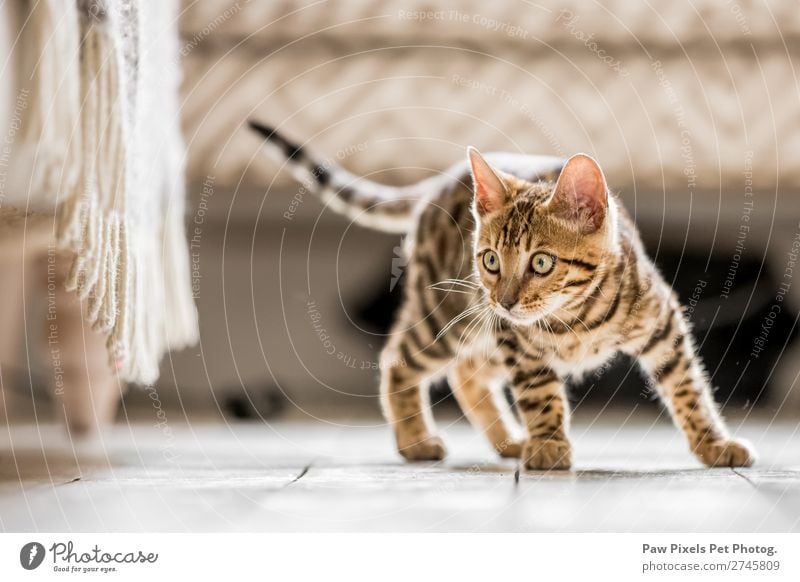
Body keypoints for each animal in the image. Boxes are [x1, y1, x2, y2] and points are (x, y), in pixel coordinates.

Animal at [252, 123, 756, 474]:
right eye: (491, 260)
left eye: (542, 263)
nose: (507, 300)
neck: (576, 318)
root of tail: (440, 182)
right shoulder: (519, 343)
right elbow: (540, 393)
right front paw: (549, 442)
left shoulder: (663, 323)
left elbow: (688, 387)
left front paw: (712, 443)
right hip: (452, 315)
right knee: (400, 358)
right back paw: (416, 439)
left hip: (483, 327)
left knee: (468, 373)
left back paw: (508, 440)